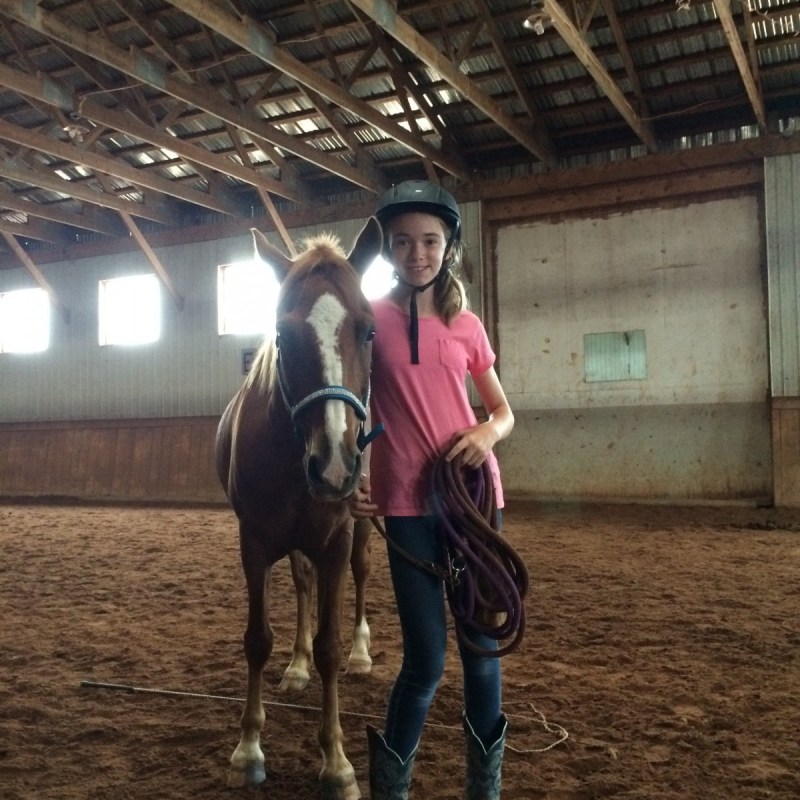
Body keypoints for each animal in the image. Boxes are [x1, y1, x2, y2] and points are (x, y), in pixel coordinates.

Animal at [215, 217, 383, 800]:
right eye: (283, 335)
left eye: (369, 330)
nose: (332, 465)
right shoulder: (255, 543)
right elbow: (257, 640)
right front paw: (247, 749)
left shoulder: (334, 540)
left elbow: (330, 644)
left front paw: (337, 763)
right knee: (304, 585)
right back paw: (297, 664)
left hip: (359, 529)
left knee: (360, 575)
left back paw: (361, 653)